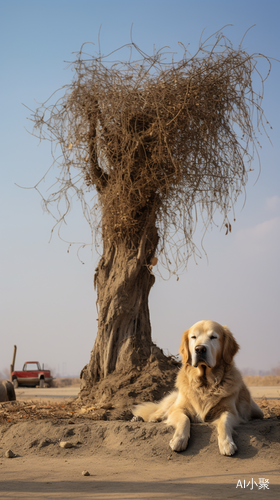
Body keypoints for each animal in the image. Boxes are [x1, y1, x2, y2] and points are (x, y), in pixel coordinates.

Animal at [132, 320, 264, 458]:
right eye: (193, 337)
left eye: (213, 337)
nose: (200, 349)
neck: (205, 384)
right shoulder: (177, 409)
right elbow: (184, 420)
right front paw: (179, 440)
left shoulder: (230, 411)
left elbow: (224, 423)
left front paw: (227, 444)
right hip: (169, 404)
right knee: (154, 413)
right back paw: (139, 418)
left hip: (257, 410)